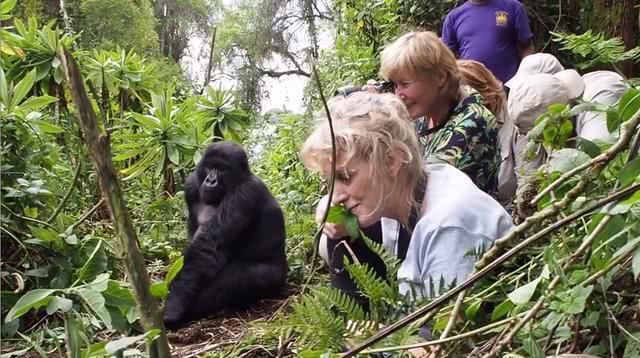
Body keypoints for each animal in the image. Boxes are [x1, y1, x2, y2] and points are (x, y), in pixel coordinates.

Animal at [162, 141, 288, 330]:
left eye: (222, 169)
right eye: (209, 167)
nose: (210, 180)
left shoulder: (244, 194)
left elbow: (206, 245)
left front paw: (173, 307)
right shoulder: (191, 185)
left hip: (276, 277)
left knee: (235, 280)